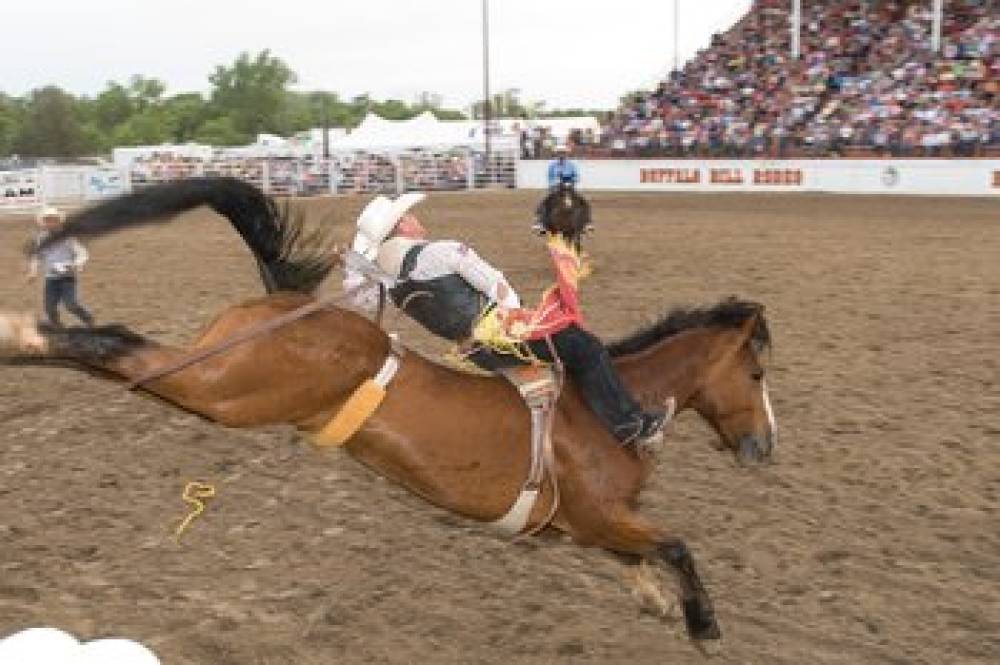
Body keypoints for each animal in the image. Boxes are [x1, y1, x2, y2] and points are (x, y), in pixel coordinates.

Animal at [3, 178, 776, 644]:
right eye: (758, 371)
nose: (764, 447)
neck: (607, 407)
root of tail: (288, 302)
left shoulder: (583, 522)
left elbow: (642, 552)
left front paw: (657, 601)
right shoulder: (599, 513)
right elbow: (675, 544)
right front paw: (702, 621)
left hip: (210, 383)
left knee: (122, 356)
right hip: (221, 384)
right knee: (122, 343)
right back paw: (24, 332)